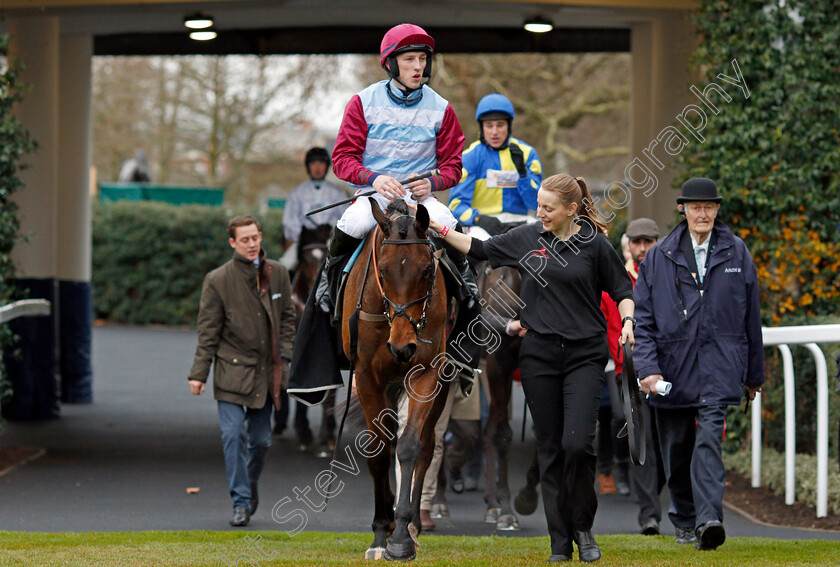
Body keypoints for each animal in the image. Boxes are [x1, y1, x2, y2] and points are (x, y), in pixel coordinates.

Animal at [342, 197, 450, 560]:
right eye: (384, 272)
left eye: (428, 270)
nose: (402, 347)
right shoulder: (366, 376)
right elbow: (378, 451)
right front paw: (380, 532)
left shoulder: (428, 372)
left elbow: (409, 446)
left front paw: (401, 536)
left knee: (427, 446)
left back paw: (413, 526)